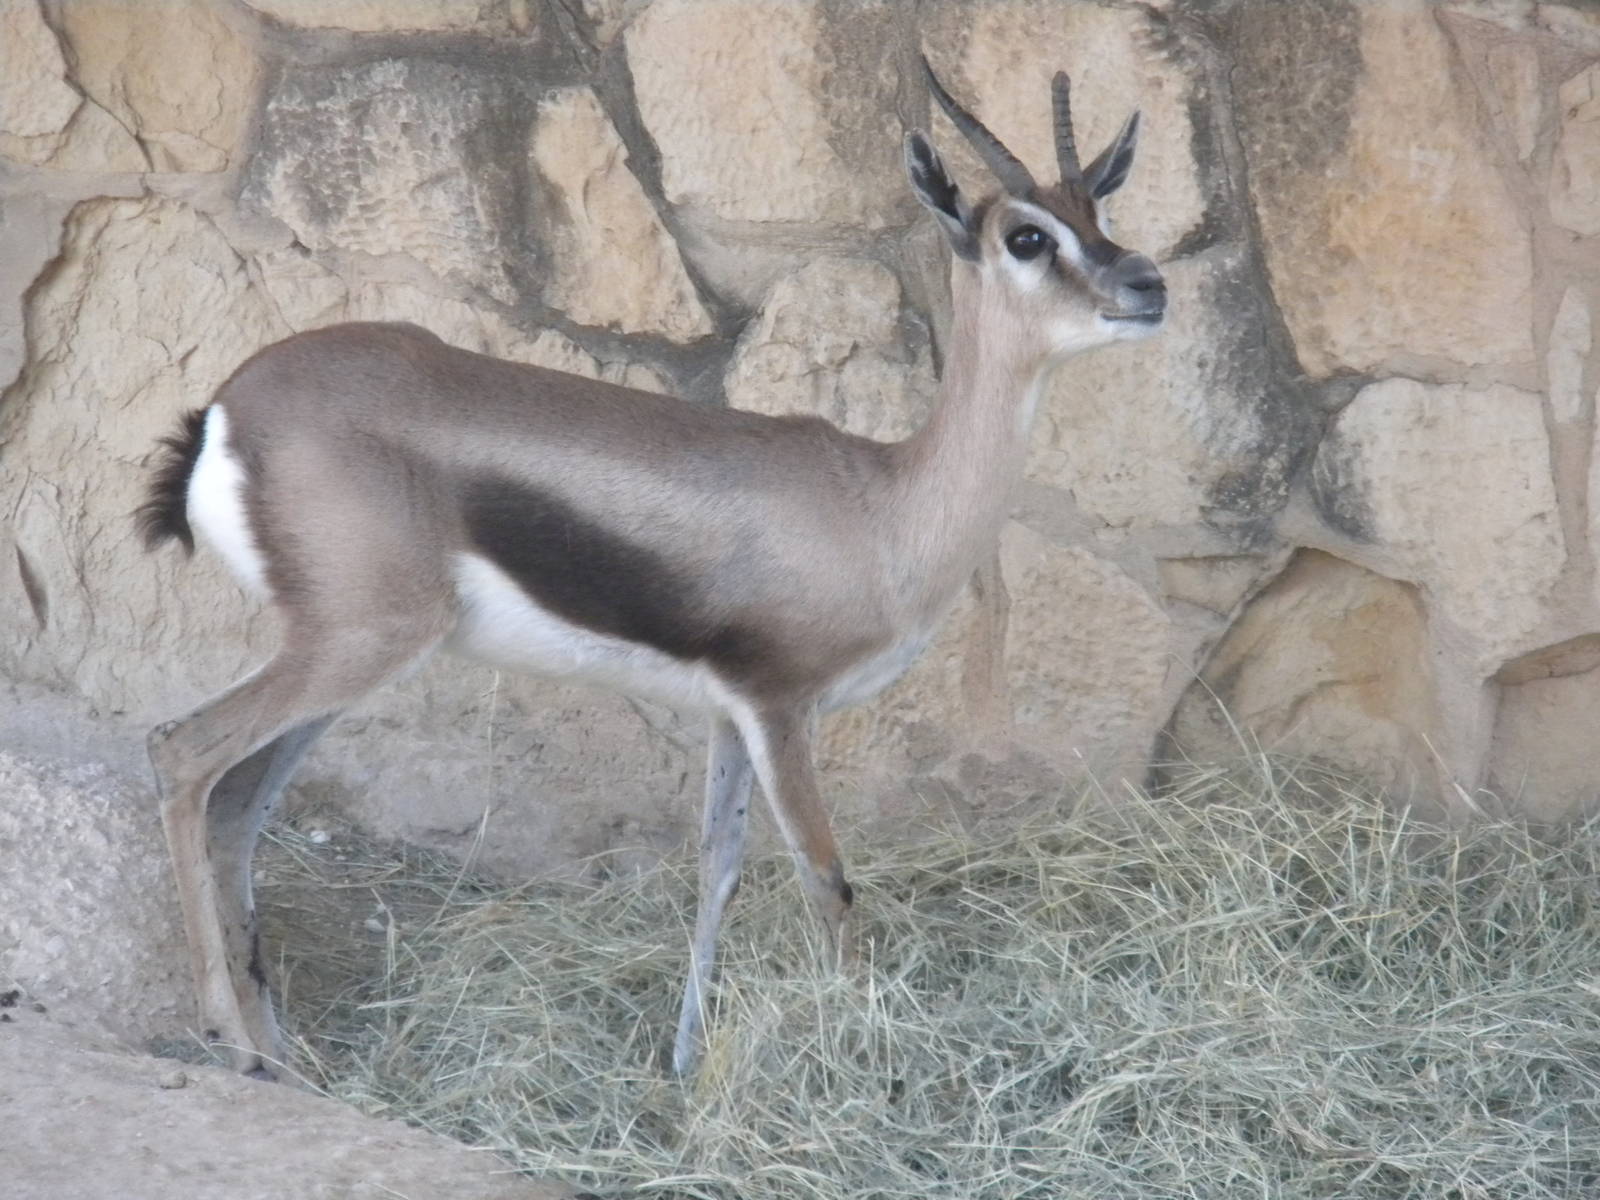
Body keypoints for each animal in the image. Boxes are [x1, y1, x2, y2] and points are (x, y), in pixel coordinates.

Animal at [139, 59, 1165, 1080]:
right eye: (1026, 235)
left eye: (1101, 212)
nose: (1148, 283)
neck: (881, 507)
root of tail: (224, 411)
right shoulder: (780, 706)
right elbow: (826, 880)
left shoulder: (729, 713)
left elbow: (720, 869)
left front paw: (682, 1066)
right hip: (357, 645)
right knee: (182, 751)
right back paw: (229, 1038)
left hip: (350, 658)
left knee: (236, 804)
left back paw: (281, 1048)